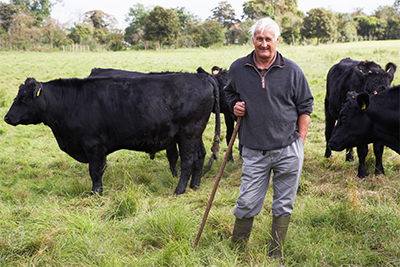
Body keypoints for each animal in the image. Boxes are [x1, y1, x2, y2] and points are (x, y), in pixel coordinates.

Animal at [4, 74, 220, 197]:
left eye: (23, 99)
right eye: (16, 96)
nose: (6, 117)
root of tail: (202, 77)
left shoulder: (93, 145)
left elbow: (95, 171)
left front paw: (95, 194)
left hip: (188, 133)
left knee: (188, 162)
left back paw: (179, 190)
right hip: (195, 134)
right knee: (199, 157)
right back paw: (194, 187)